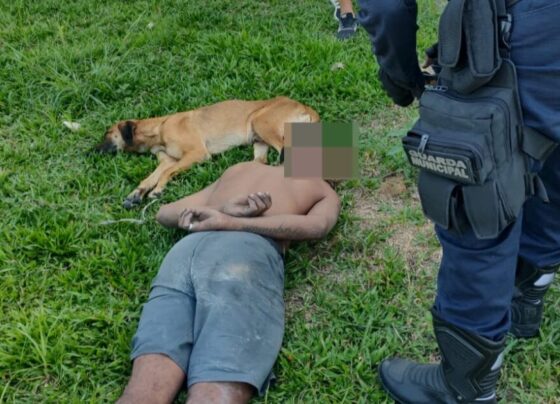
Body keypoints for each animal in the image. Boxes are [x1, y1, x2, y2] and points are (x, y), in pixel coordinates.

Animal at [96, 96, 319, 208]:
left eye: (107, 134)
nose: (92, 151)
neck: (159, 128)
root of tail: (307, 109)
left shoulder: (197, 154)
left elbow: (166, 173)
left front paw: (158, 190)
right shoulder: (168, 160)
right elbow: (150, 177)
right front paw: (136, 194)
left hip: (260, 120)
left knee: (284, 153)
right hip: (258, 140)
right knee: (261, 163)